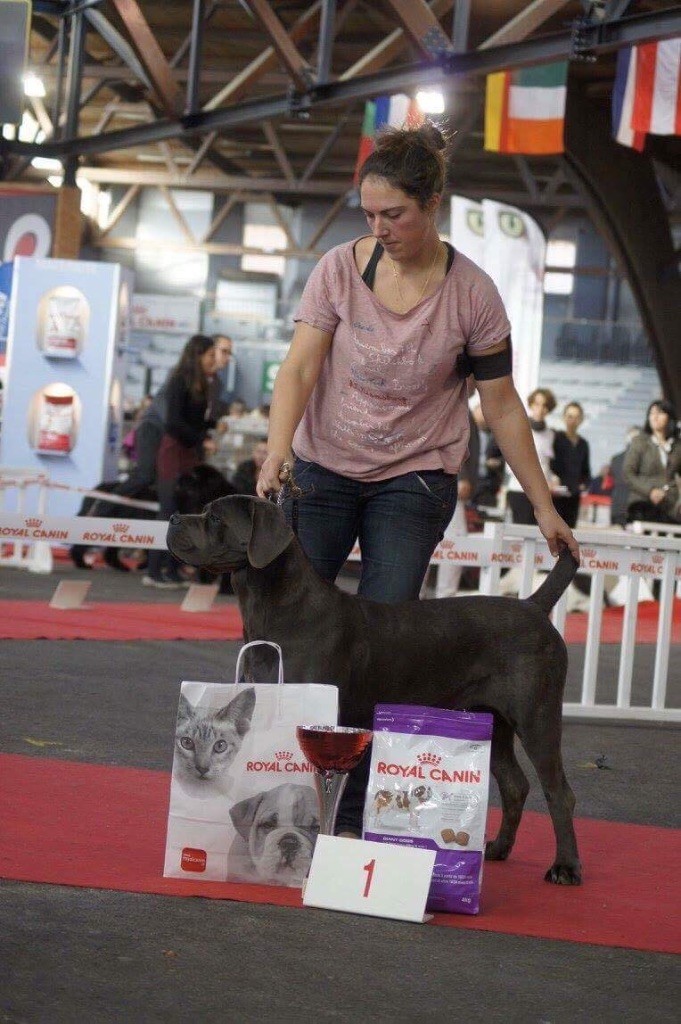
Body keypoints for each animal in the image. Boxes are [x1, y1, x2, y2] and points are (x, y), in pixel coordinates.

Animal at [167, 495, 582, 885]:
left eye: (215, 518)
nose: (172, 518)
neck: (273, 606)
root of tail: (534, 606)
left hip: (537, 715)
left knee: (559, 792)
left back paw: (565, 867)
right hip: (491, 719)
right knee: (515, 785)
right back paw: (497, 849)